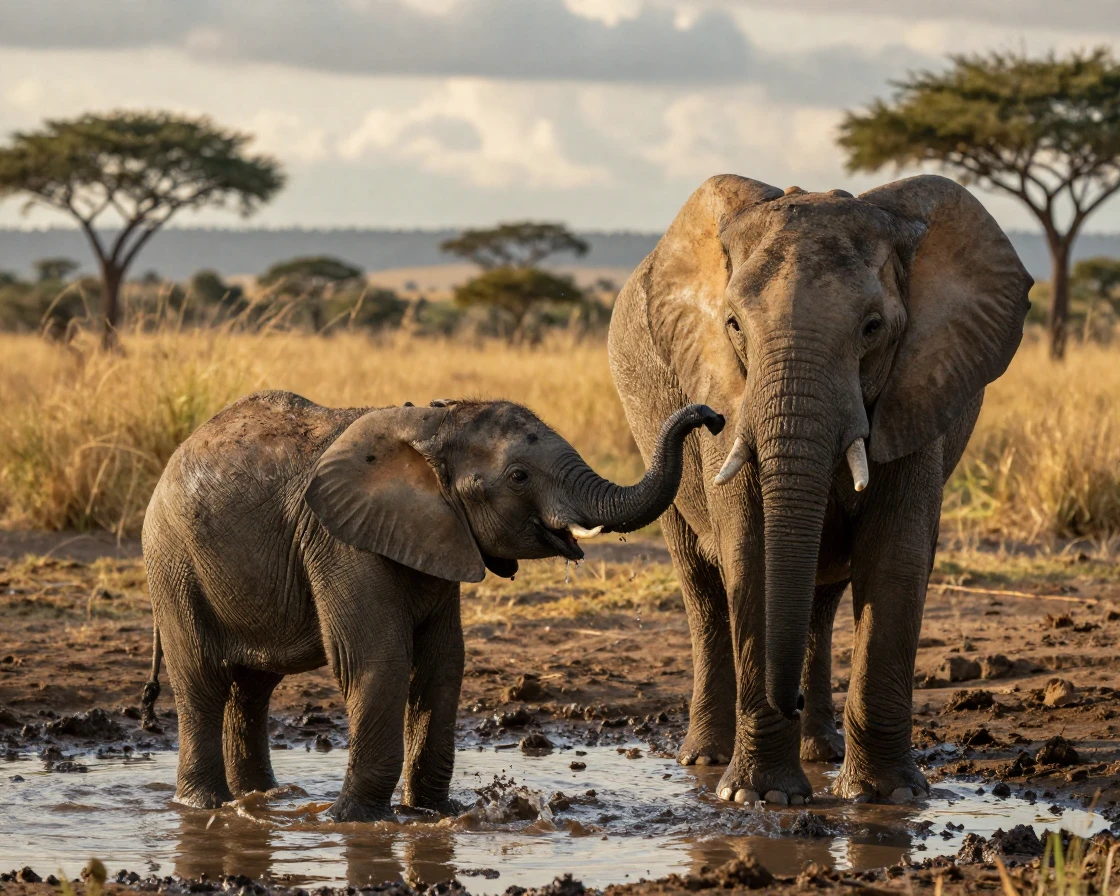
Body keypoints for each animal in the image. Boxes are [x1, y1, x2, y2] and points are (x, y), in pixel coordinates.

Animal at [140, 390, 723, 821]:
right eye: (518, 477)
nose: (712, 415)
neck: (434, 423)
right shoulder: (341, 542)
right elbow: (379, 663)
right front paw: (352, 821)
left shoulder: (441, 535)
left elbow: (443, 665)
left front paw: (430, 815)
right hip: (173, 563)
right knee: (202, 681)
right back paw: (204, 806)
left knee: (253, 689)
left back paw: (265, 801)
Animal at [607, 174, 1031, 805]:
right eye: (733, 325)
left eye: (873, 328)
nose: (703, 417)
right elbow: (752, 555)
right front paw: (760, 798)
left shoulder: (919, 388)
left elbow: (895, 560)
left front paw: (888, 797)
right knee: (703, 588)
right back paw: (705, 759)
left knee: (819, 598)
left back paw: (820, 752)